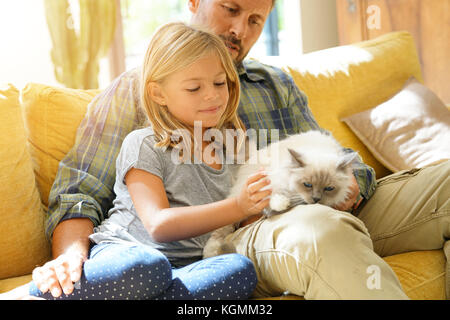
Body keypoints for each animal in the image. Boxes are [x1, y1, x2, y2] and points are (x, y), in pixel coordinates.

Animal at [203, 129, 358, 258]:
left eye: (329, 188)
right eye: (308, 185)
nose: (316, 199)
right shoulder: (269, 183)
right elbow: (275, 196)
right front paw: (282, 204)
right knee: (221, 230)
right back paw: (210, 253)